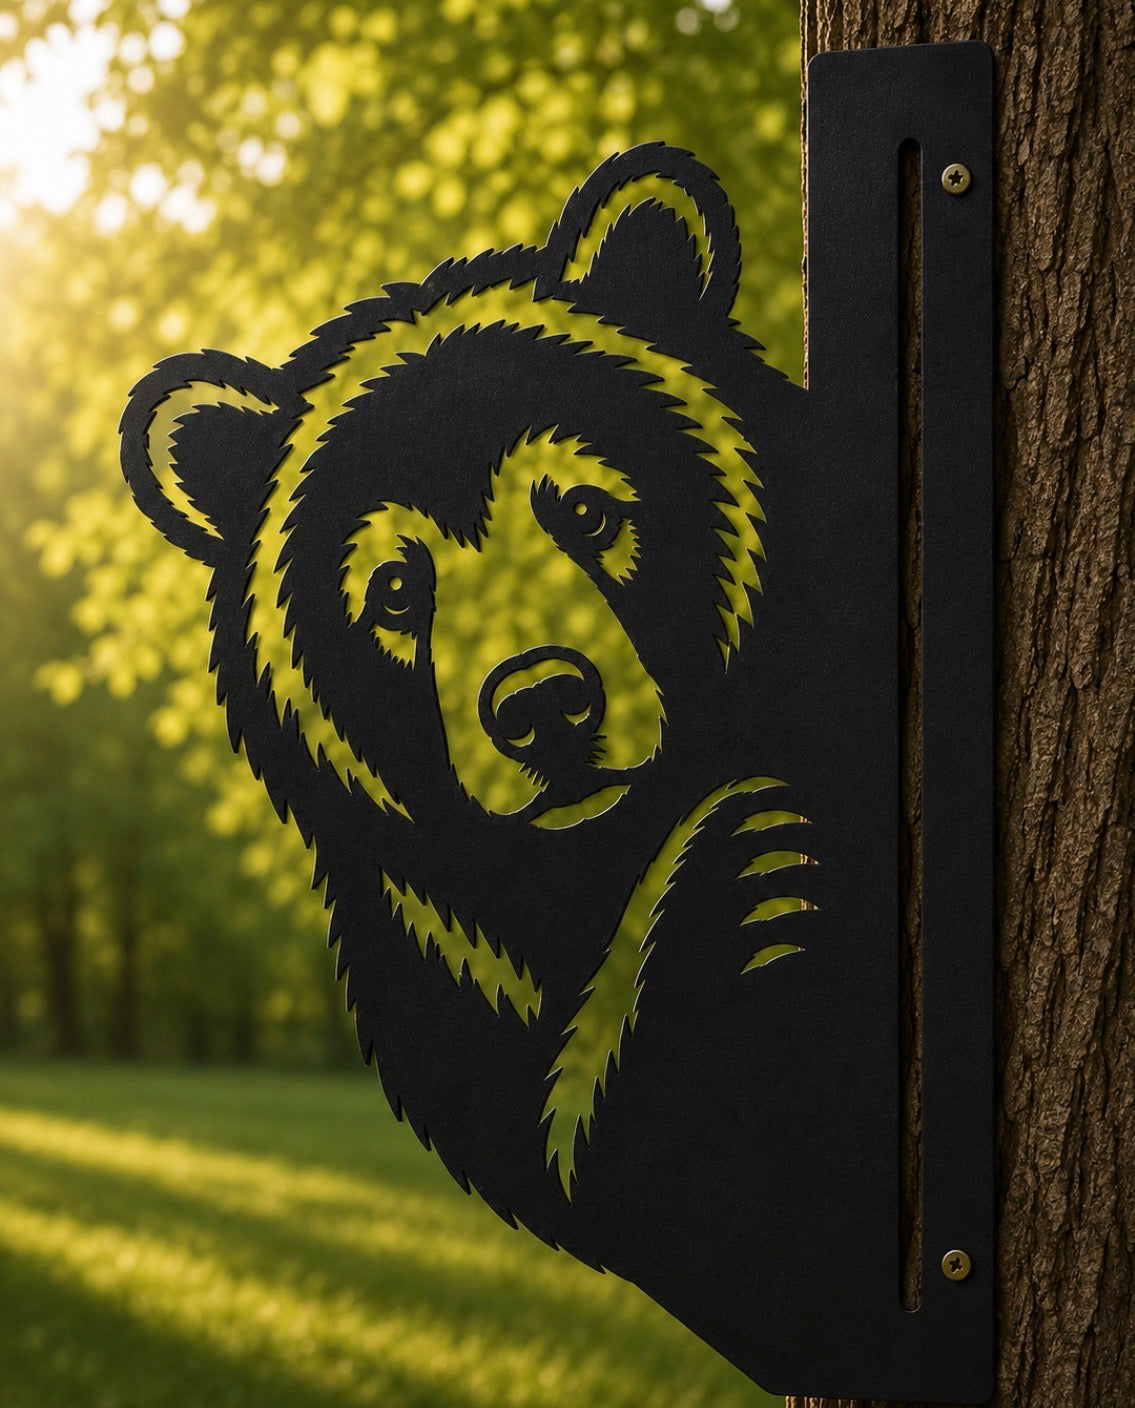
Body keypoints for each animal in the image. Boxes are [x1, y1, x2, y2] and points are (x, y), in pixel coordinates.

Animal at [121, 143, 824, 1384]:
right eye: (397, 588)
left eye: (586, 508)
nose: (543, 707)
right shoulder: (433, 946)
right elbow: (604, 1152)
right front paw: (741, 877)